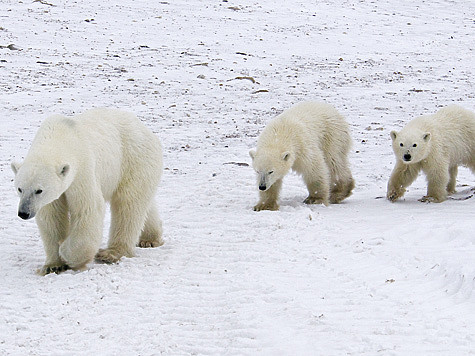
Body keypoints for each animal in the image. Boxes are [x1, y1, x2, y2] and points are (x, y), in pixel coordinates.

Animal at [11, 108, 164, 276]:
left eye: (39, 190)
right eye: (20, 189)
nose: (23, 213)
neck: (61, 136)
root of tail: (146, 130)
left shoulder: (82, 169)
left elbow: (87, 209)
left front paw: (66, 253)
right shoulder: (52, 196)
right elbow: (51, 217)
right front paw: (53, 265)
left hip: (133, 159)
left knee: (128, 204)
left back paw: (111, 253)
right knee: (143, 203)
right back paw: (149, 239)